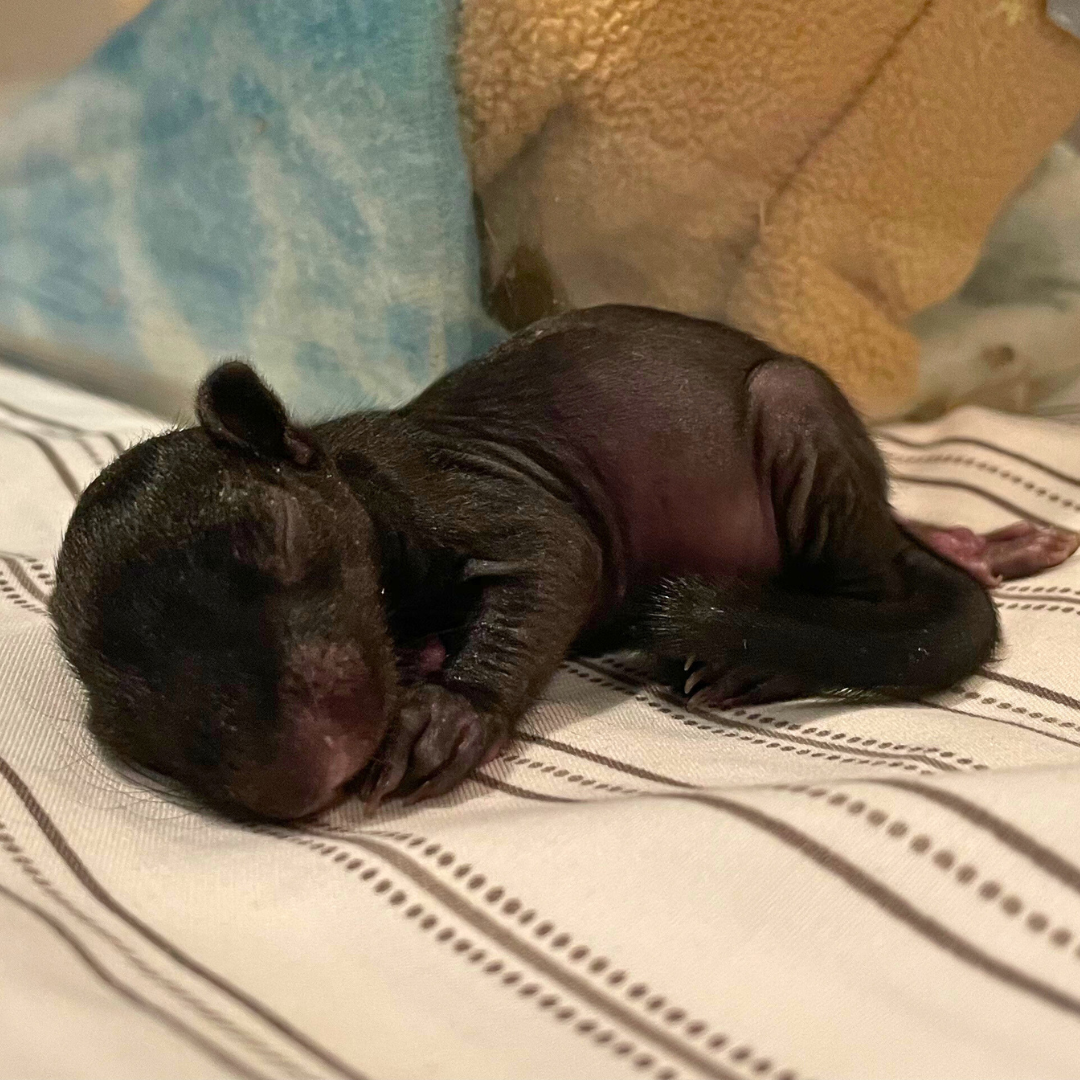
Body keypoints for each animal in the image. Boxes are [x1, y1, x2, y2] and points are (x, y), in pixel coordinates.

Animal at [48, 304, 1071, 816]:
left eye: (284, 541)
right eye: (127, 713)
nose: (309, 770)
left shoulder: (447, 485)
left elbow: (555, 554)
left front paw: (452, 710)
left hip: (796, 413)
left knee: (863, 572)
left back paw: (773, 653)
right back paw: (972, 545)